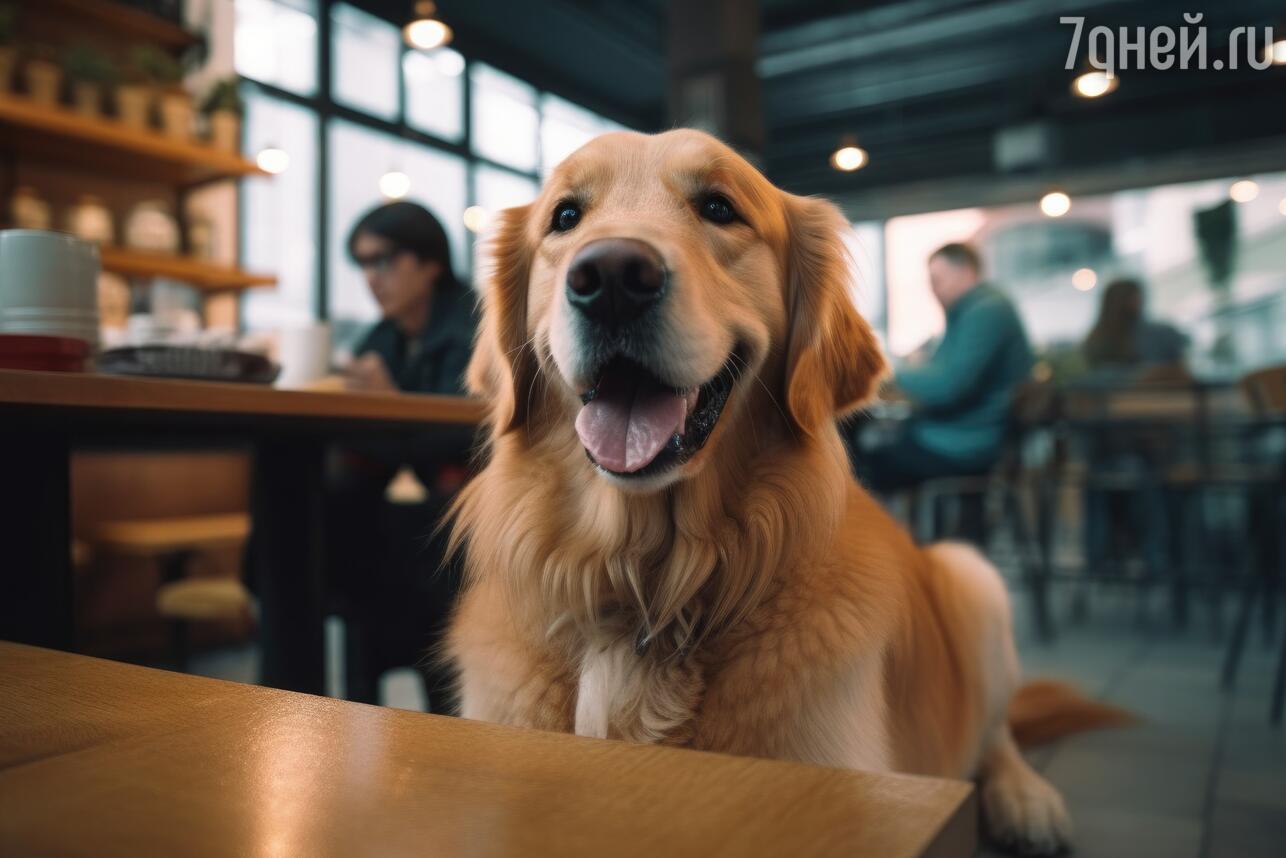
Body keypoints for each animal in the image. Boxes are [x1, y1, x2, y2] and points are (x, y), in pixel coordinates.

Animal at [444, 126, 1126, 854]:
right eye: (566, 217)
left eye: (719, 207)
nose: (610, 279)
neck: (649, 595)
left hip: (973, 577)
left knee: (992, 732)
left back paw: (1027, 799)